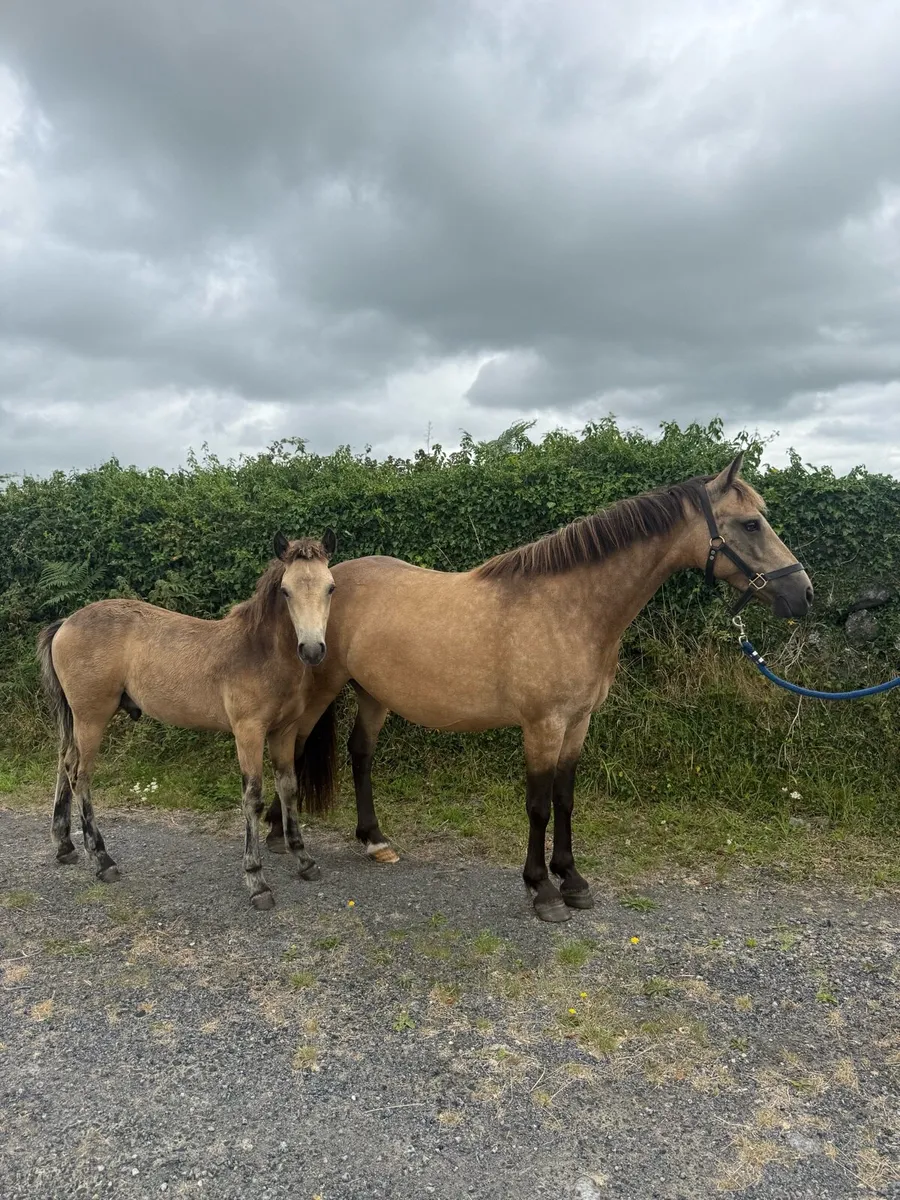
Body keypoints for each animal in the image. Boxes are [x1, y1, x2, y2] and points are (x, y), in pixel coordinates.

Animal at [37, 530, 339, 909]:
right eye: (286, 590)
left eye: (330, 587)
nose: (312, 650)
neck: (259, 652)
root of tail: (66, 623)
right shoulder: (248, 733)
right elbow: (252, 798)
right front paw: (257, 881)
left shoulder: (284, 733)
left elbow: (288, 789)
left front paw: (304, 859)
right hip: (91, 719)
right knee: (80, 777)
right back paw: (103, 860)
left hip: (76, 721)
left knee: (64, 764)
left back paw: (64, 846)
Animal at [265, 455, 813, 922]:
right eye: (751, 524)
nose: (803, 594)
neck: (570, 607)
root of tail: (333, 577)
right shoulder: (542, 725)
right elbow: (538, 803)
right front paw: (542, 889)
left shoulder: (578, 722)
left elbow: (565, 798)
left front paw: (572, 879)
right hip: (321, 687)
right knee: (292, 748)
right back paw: (279, 835)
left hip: (374, 693)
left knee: (360, 752)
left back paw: (374, 840)